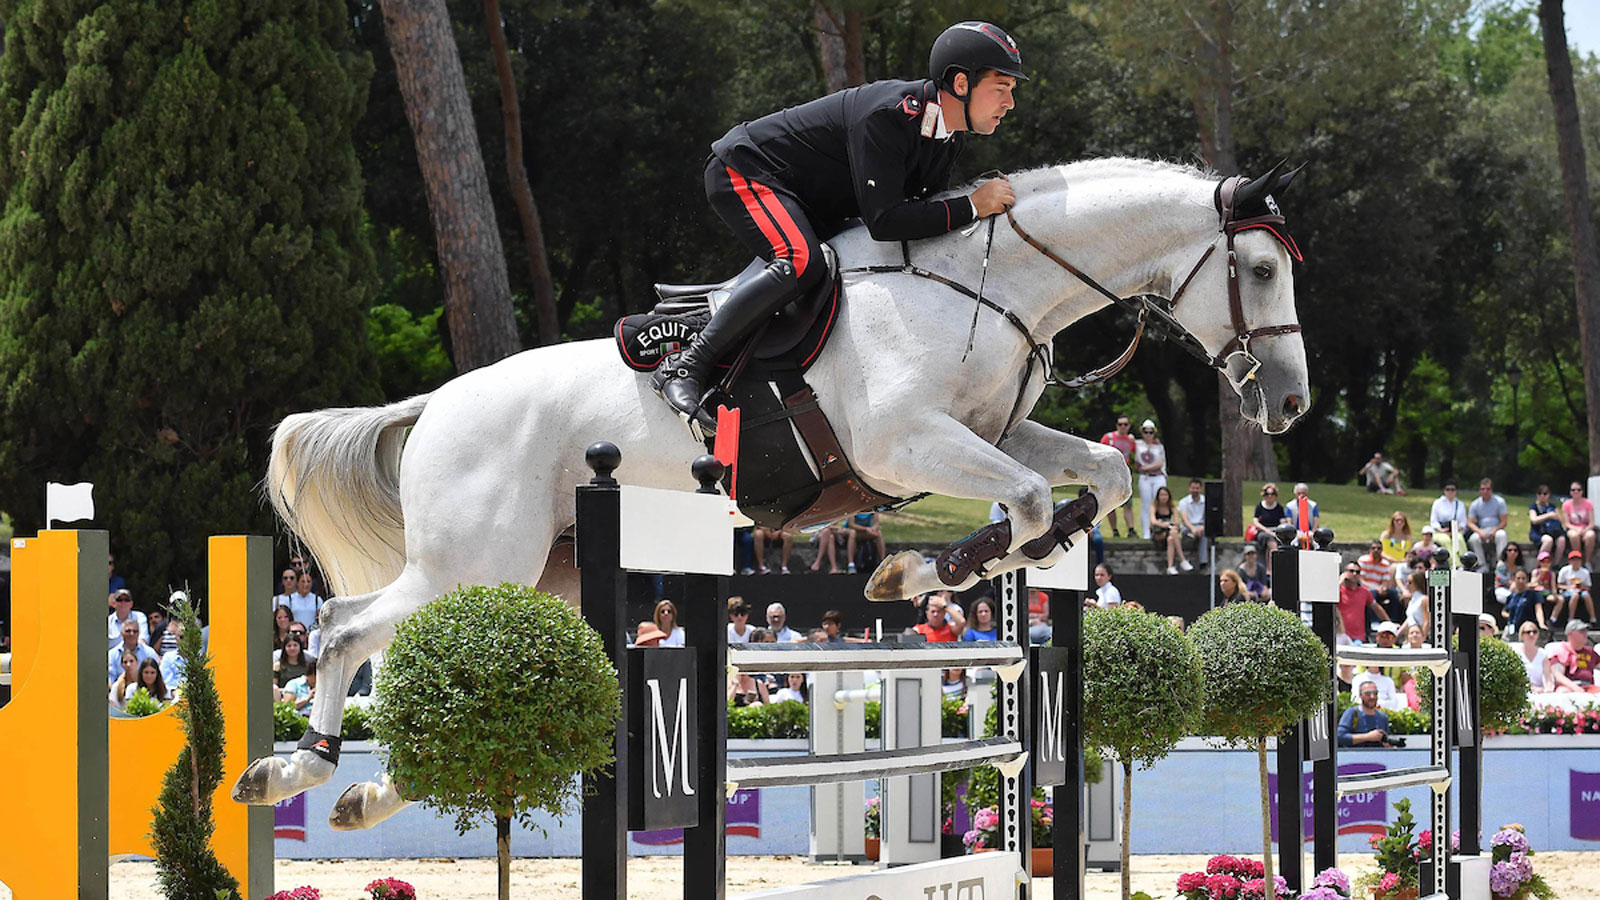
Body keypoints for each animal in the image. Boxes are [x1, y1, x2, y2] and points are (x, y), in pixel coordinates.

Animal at [233, 156, 1312, 826]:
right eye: (1260, 268)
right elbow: (1033, 501)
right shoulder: (908, 446)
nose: (1293, 403)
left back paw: (366, 793)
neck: (985, 287)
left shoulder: (993, 432)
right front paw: (919, 572)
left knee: (416, 653)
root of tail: (437, 402)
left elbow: (1095, 476)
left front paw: (973, 563)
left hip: (542, 575)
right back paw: (294, 768)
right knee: (348, 627)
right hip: (474, 558)